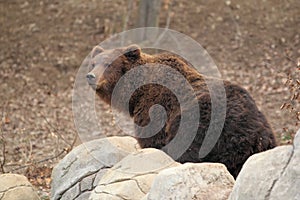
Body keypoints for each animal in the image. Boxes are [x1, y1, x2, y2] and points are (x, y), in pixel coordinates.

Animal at [86, 44, 276, 178]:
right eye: (93, 63)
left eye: (108, 64)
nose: (90, 75)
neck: (137, 93)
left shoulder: (156, 111)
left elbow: (153, 142)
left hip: (202, 125)